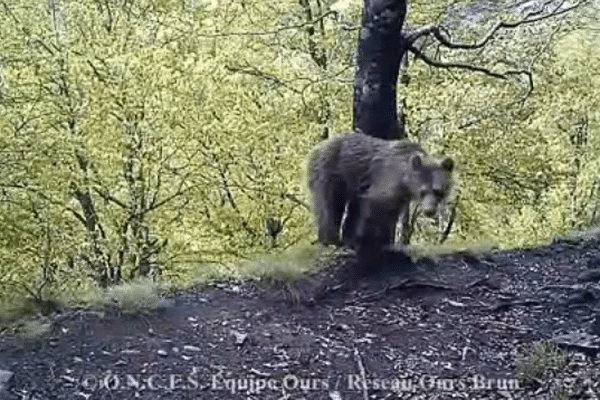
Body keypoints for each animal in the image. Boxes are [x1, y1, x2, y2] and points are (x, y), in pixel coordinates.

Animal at [308, 133, 452, 248]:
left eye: (438, 191)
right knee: (329, 205)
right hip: (330, 172)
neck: (404, 178)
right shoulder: (385, 181)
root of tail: (317, 148)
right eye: (423, 191)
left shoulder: (398, 195)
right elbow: (375, 209)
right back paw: (330, 240)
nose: (429, 211)